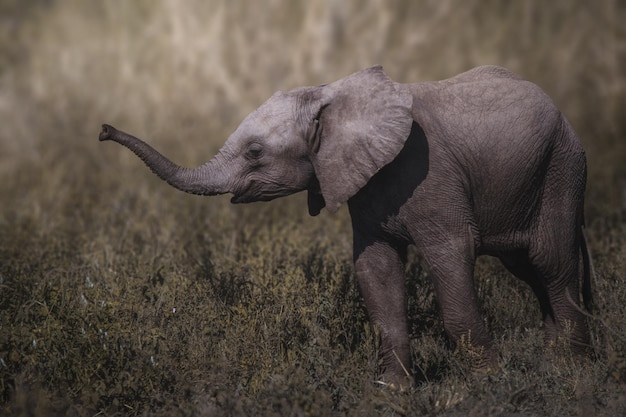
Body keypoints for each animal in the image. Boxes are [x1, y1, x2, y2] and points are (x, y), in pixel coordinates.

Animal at [98, 66, 588, 386]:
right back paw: (556, 362)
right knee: (530, 269)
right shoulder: (362, 183)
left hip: (560, 168)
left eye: (255, 152)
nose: (104, 130)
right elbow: (376, 270)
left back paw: (571, 372)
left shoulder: (432, 176)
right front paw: (391, 394)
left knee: (551, 263)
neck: (329, 95)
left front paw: (487, 384)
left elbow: (450, 260)